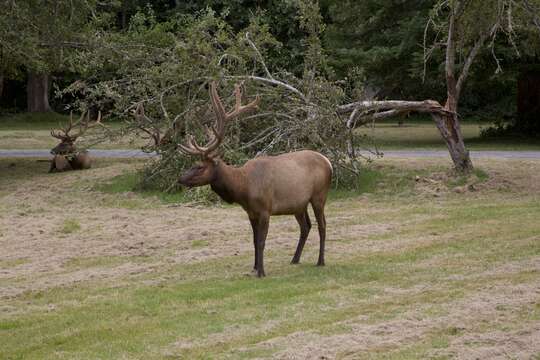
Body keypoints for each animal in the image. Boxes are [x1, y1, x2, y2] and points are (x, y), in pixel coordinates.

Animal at [177, 82, 332, 278]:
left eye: (200, 166)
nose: (180, 179)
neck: (244, 188)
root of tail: (329, 163)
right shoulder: (250, 212)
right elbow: (253, 240)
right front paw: (255, 267)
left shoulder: (265, 209)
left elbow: (261, 241)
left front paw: (262, 272)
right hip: (299, 204)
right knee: (306, 226)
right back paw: (295, 259)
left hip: (319, 195)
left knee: (322, 225)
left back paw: (321, 261)